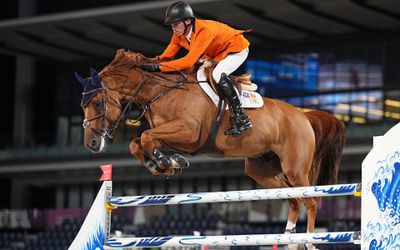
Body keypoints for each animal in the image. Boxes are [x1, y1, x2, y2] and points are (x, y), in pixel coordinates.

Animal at [76, 49, 346, 250]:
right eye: (82, 106)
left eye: (97, 103)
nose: (91, 144)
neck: (159, 91)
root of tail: (304, 116)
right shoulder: (174, 135)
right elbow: (139, 142)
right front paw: (164, 163)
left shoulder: (189, 132)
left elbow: (144, 136)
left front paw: (167, 162)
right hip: (262, 170)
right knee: (293, 199)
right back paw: (290, 240)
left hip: (295, 168)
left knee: (310, 200)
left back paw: (310, 242)